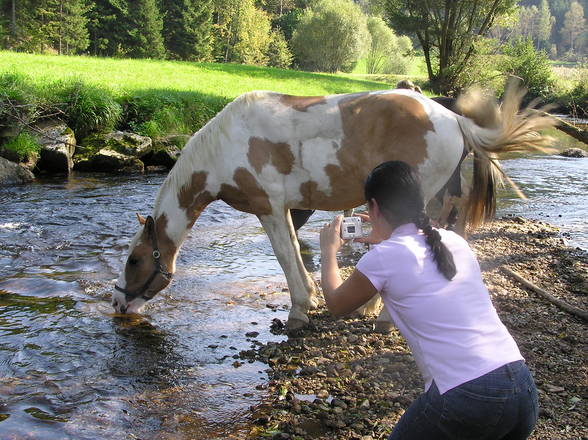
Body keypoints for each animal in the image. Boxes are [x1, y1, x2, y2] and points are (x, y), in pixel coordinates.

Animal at [112, 83, 552, 330]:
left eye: (134, 260)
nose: (117, 303)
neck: (226, 147)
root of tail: (454, 118)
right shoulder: (283, 210)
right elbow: (293, 252)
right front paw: (307, 303)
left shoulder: (267, 208)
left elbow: (286, 256)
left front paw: (299, 311)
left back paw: (380, 314)